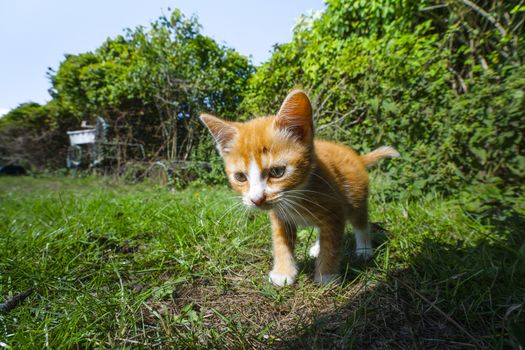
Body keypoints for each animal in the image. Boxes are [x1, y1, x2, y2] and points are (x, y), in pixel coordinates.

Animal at [201, 89, 398, 286]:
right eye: (240, 177)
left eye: (277, 172)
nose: (257, 199)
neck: (296, 196)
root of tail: (356, 156)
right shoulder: (280, 218)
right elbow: (281, 242)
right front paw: (283, 272)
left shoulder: (335, 208)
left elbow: (332, 243)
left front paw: (327, 275)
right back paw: (317, 247)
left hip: (356, 197)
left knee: (360, 221)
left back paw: (364, 249)